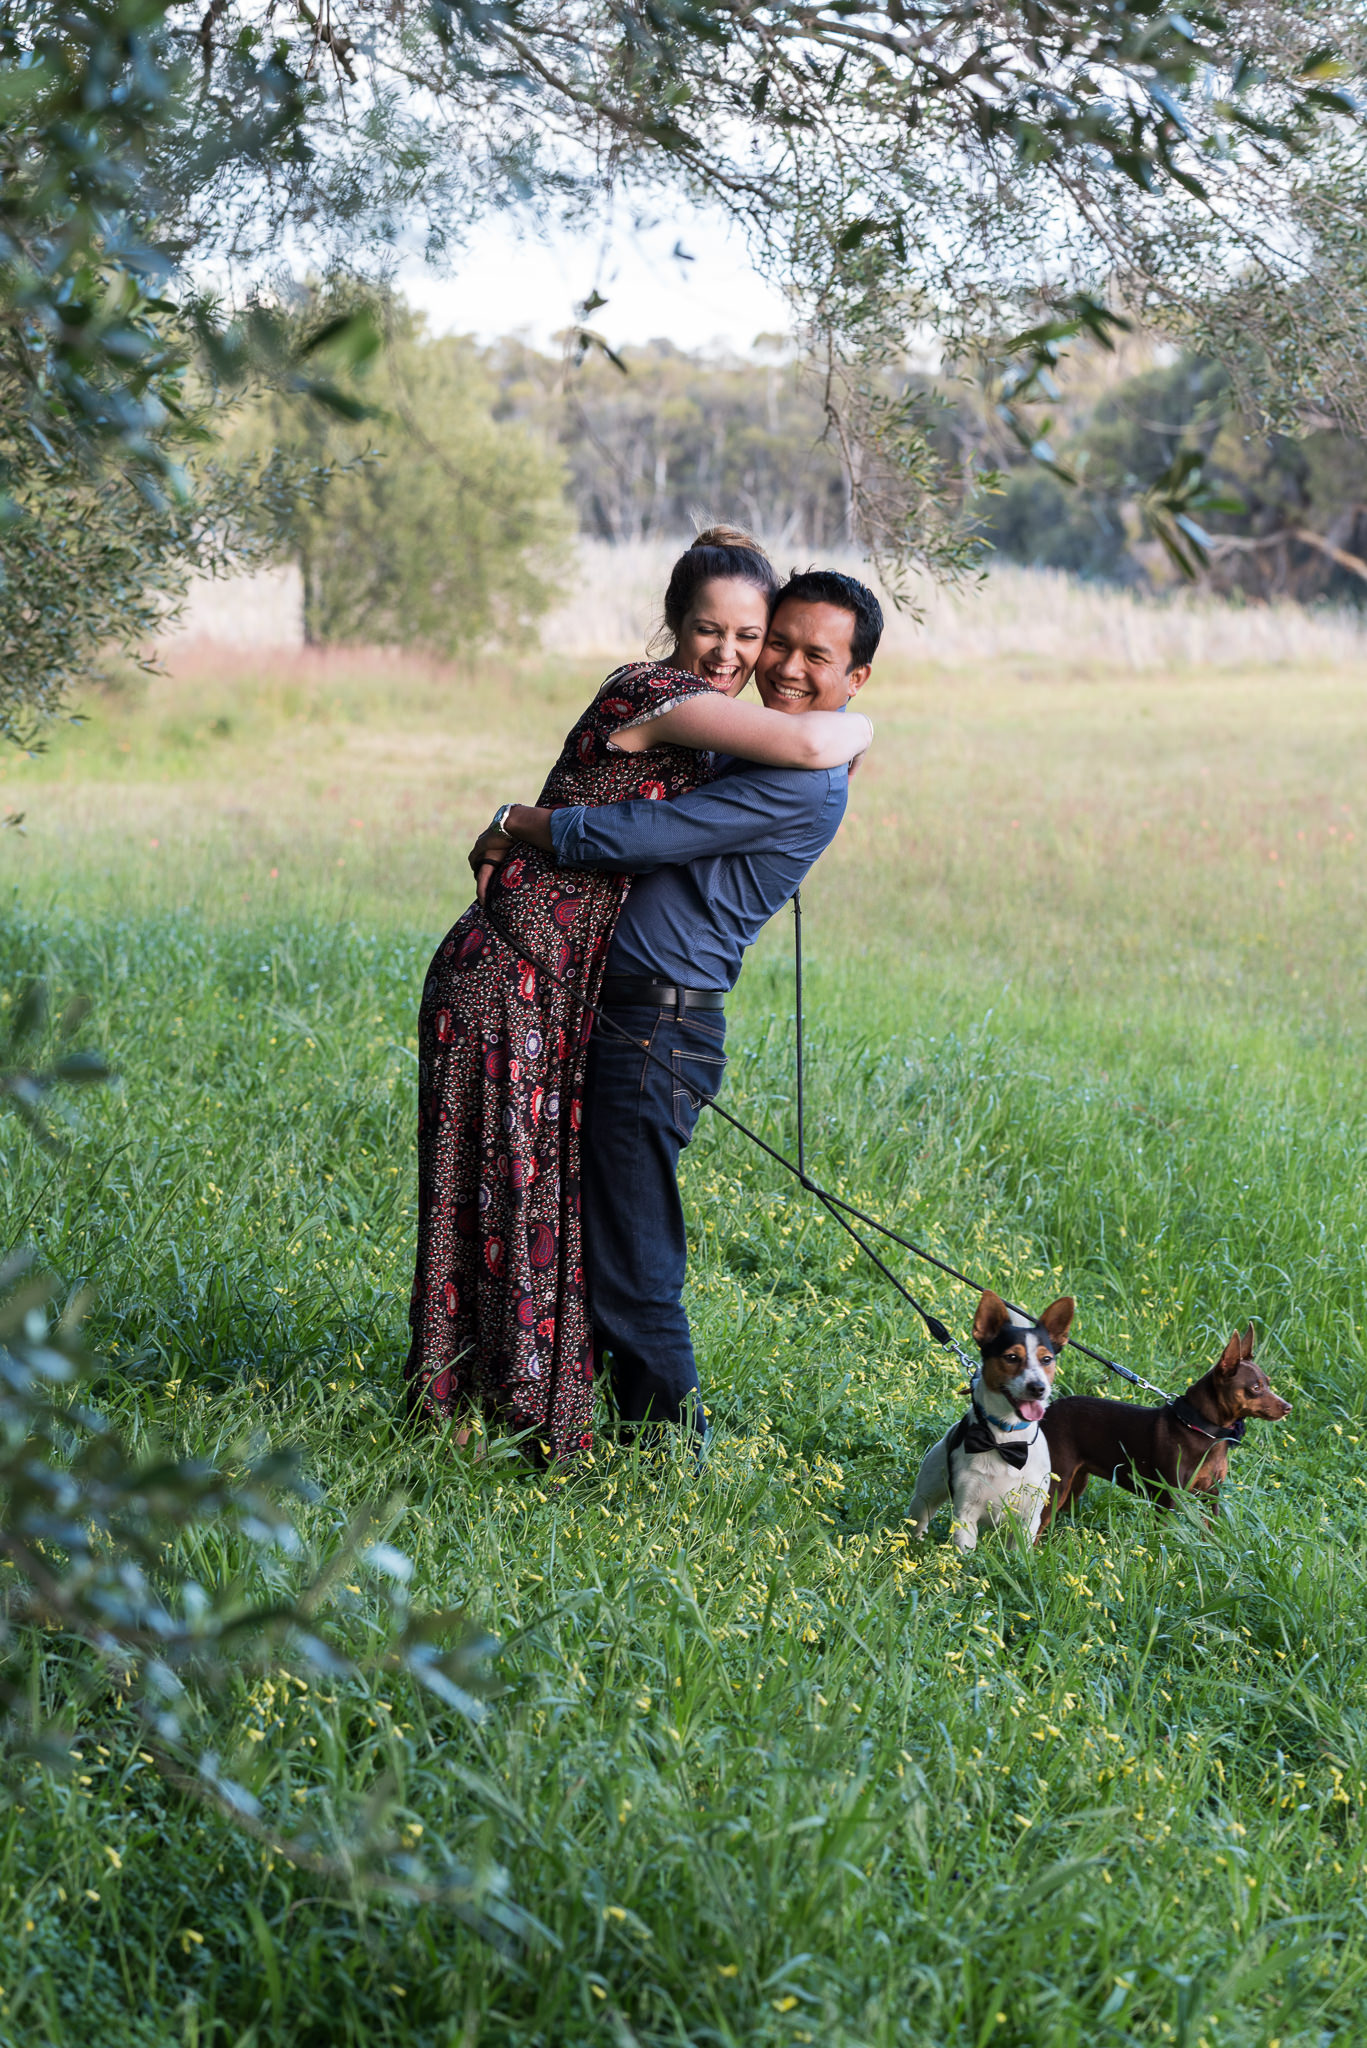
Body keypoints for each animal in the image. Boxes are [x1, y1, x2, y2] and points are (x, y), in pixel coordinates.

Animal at [914, 1294, 1073, 1548]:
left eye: (1047, 1359)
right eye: (1011, 1357)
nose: (1038, 1387)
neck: (1006, 1438)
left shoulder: (1028, 1520)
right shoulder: (966, 1515)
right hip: (926, 1494)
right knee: (920, 1518)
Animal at [1037, 1327, 1295, 1540]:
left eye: (1268, 1383)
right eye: (1255, 1388)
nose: (1288, 1407)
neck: (1202, 1430)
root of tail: (1050, 1409)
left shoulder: (1211, 1499)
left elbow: (1210, 1538)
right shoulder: (1168, 1500)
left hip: (1076, 1483)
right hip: (1058, 1482)